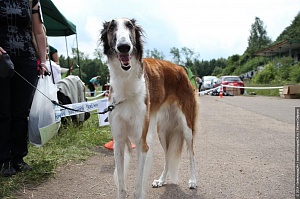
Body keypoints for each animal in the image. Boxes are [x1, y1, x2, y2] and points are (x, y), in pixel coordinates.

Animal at [101, 17, 199, 198]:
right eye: (112, 27)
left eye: (129, 25)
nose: (124, 46)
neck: (126, 82)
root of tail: (181, 69)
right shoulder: (118, 142)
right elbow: (122, 186)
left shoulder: (142, 143)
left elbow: (137, 187)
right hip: (162, 130)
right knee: (168, 156)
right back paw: (161, 180)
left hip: (187, 127)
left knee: (191, 154)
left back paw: (193, 180)